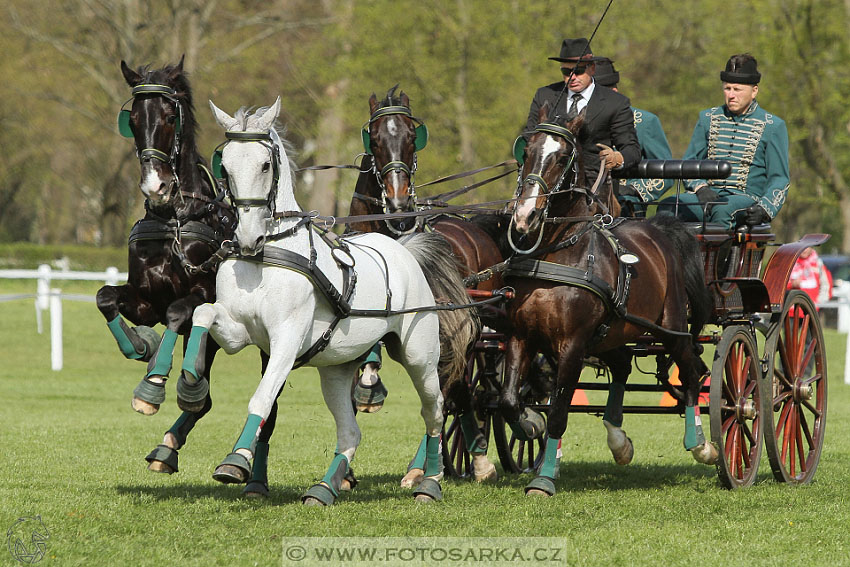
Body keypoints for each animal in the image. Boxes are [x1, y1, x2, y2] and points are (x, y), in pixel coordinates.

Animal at [97, 57, 274, 496]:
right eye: (133, 119)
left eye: (168, 116)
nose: (155, 186)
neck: (175, 219)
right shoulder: (145, 300)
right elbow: (106, 296)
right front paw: (139, 346)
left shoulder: (200, 296)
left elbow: (179, 312)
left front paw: (154, 384)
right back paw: (168, 446)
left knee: (269, 407)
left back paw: (251, 476)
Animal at [179, 98, 474, 506]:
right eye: (226, 165)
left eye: (265, 164)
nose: (249, 238)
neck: (267, 257)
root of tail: (405, 250)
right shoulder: (239, 332)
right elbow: (203, 313)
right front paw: (190, 384)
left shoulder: (286, 341)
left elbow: (261, 399)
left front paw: (236, 461)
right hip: (337, 368)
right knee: (351, 431)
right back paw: (324, 488)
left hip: (419, 357)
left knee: (435, 411)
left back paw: (428, 482)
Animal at [346, 86, 504, 486]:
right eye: (375, 138)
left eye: (410, 138)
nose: (399, 202)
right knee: (459, 388)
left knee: (452, 390)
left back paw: (429, 466)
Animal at [504, 106, 716, 496]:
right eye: (526, 153)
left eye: (562, 157)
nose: (525, 217)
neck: (554, 255)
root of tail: (657, 229)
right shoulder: (520, 335)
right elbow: (510, 399)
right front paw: (529, 424)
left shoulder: (572, 344)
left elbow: (559, 411)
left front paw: (544, 478)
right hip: (613, 332)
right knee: (622, 366)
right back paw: (619, 441)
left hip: (671, 327)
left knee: (691, 372)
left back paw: (700, 444)